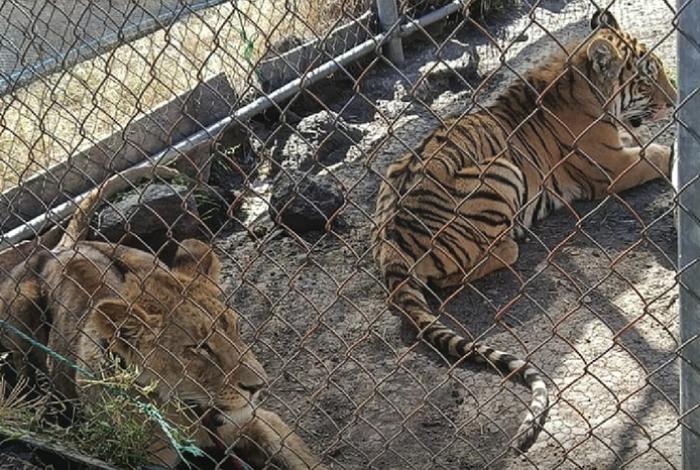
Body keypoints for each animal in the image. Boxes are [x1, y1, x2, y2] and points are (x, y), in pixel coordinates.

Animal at [370, 10, 676, 452]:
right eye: (646, 79)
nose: (674, 100)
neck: (579, 79)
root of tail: (390, 244)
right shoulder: (613, 167)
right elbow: (661, 153)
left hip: (395, 171)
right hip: (502, 172)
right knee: (467, 269)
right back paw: (516, 239)